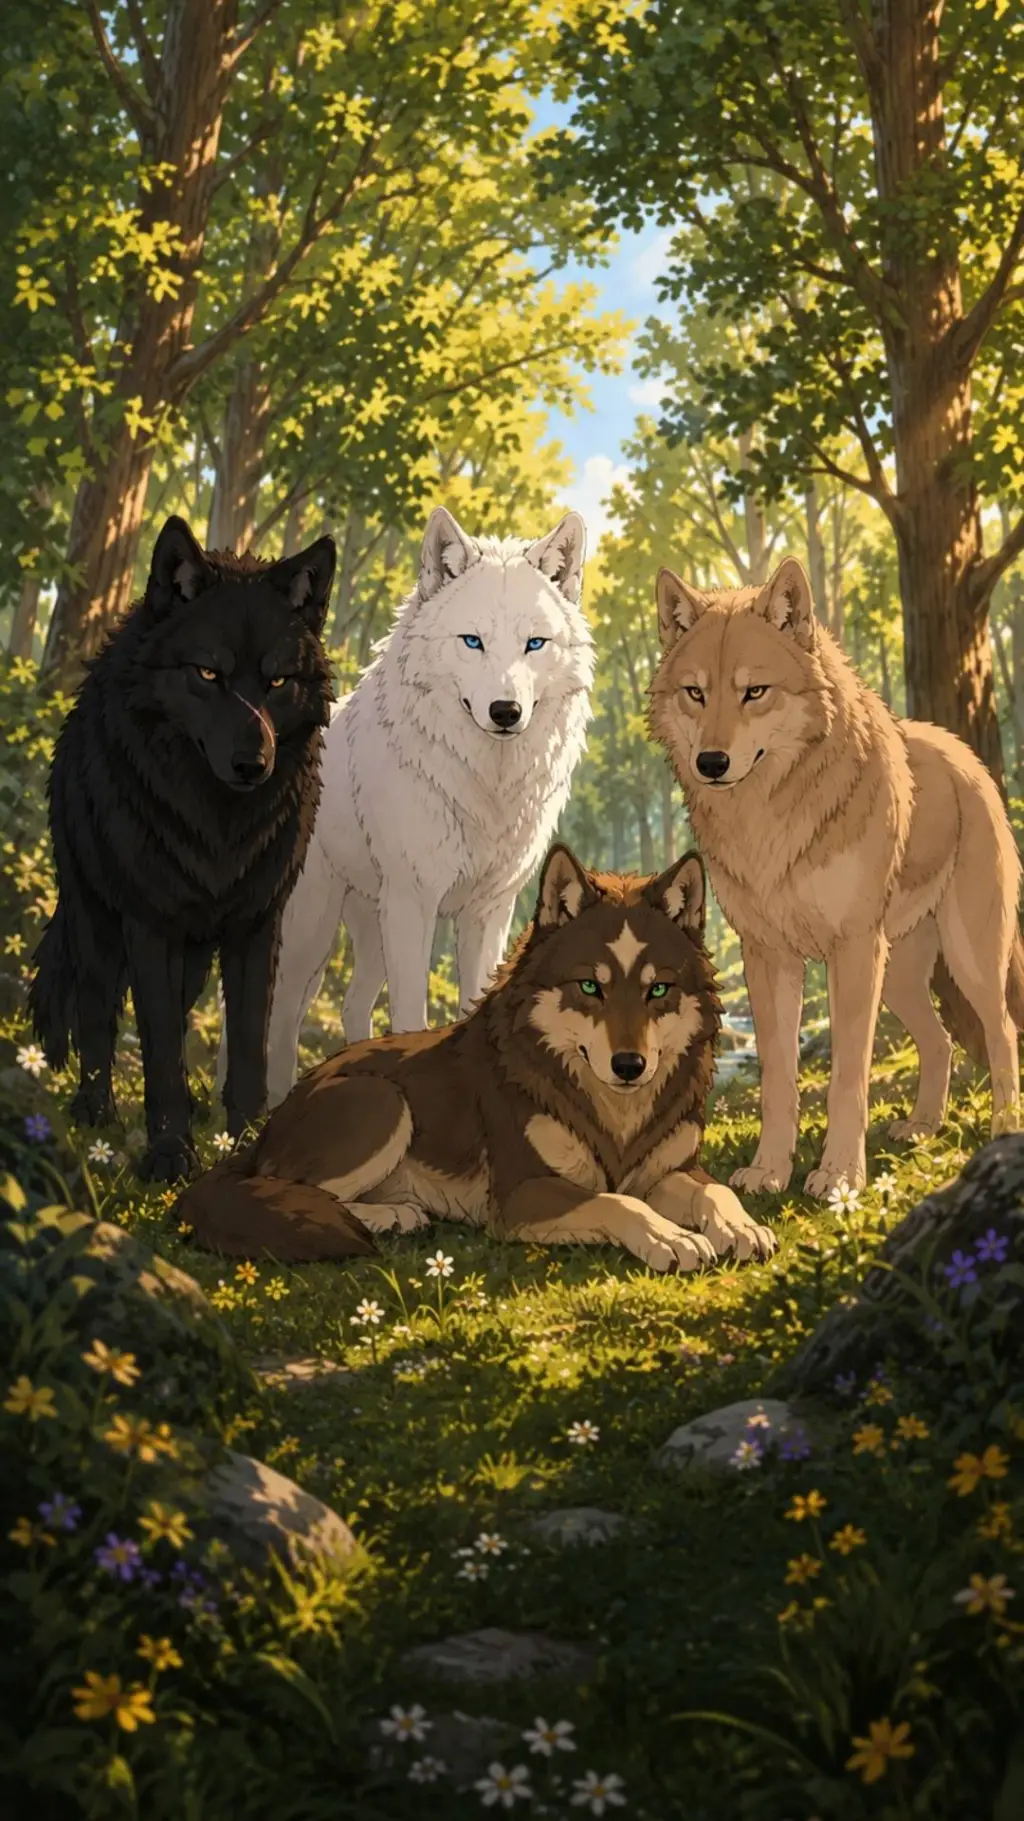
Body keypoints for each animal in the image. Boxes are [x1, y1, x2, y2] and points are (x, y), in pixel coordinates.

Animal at [29, 516, 335, 1184]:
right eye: (208, 674)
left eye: (277, 681)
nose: (253, 764)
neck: (217, 827)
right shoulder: (149, 925)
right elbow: (161, 1044)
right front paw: (169, 1154)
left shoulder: (256, 925)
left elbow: (246, 1044)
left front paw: (246, 1144)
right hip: (96, 919)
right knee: (98, 1012)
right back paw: (94, 1111)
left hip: (194, 955)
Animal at [181, 843, 776, 1272]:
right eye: (590, 986)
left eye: (659, 990)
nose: (629, 1066)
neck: (616, 1117)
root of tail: (268, 1123)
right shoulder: (520, 1193)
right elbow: (617, 1202)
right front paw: (670, 1238)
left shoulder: (675, 1171)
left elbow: (717, 1191)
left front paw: (742, 1228)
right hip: (383, 1101)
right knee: (286, 1193)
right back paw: (392, 1214)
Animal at [217, 505, 594, 1107]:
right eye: (472, 641)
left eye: (534, 644)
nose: (505, 711)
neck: (483, 784)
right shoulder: (415, 903)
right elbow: (412, 1017)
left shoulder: (488, 912)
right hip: (311, 932)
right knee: (279, 1019)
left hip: (368, 930)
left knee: (349, 1005)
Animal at [649, 555, 1024, 1199]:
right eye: (695, 693)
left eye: (754, 692)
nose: (712, 763)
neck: (768, 819)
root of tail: (963, 753)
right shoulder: (767, 956)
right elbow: (778, 1076)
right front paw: (770, 1171)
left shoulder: (850, 951)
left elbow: (849, 1074)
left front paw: (840, 1177)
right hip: (899, 975)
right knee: (941, 1041)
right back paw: (923, 1127)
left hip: (967, 958)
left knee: (1001, 1032)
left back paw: (1003, 1129)